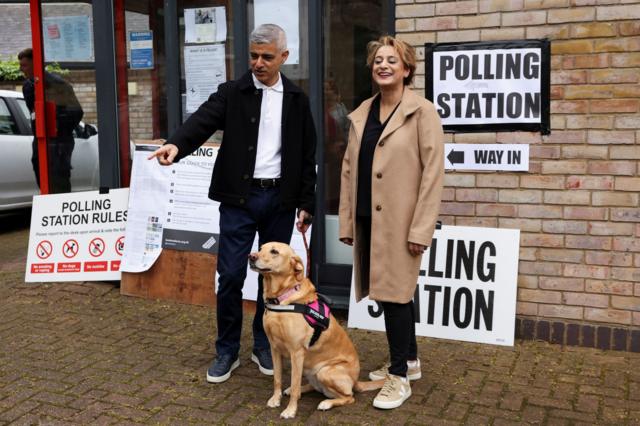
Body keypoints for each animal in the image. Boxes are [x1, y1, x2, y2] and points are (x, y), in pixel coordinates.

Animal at [249, 241, 380, 418]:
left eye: (274, 251)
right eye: (260, 248)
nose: (251, 256)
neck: (281, 299)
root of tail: (355, 381)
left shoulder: (296, 352)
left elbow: (294, 383)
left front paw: (290, 410)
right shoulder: (274, 348)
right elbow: (277, 378)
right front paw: (276, 399)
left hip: (325, 371)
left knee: (349, 396)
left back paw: (326, 403)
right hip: (309, 369)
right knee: (314, 387)